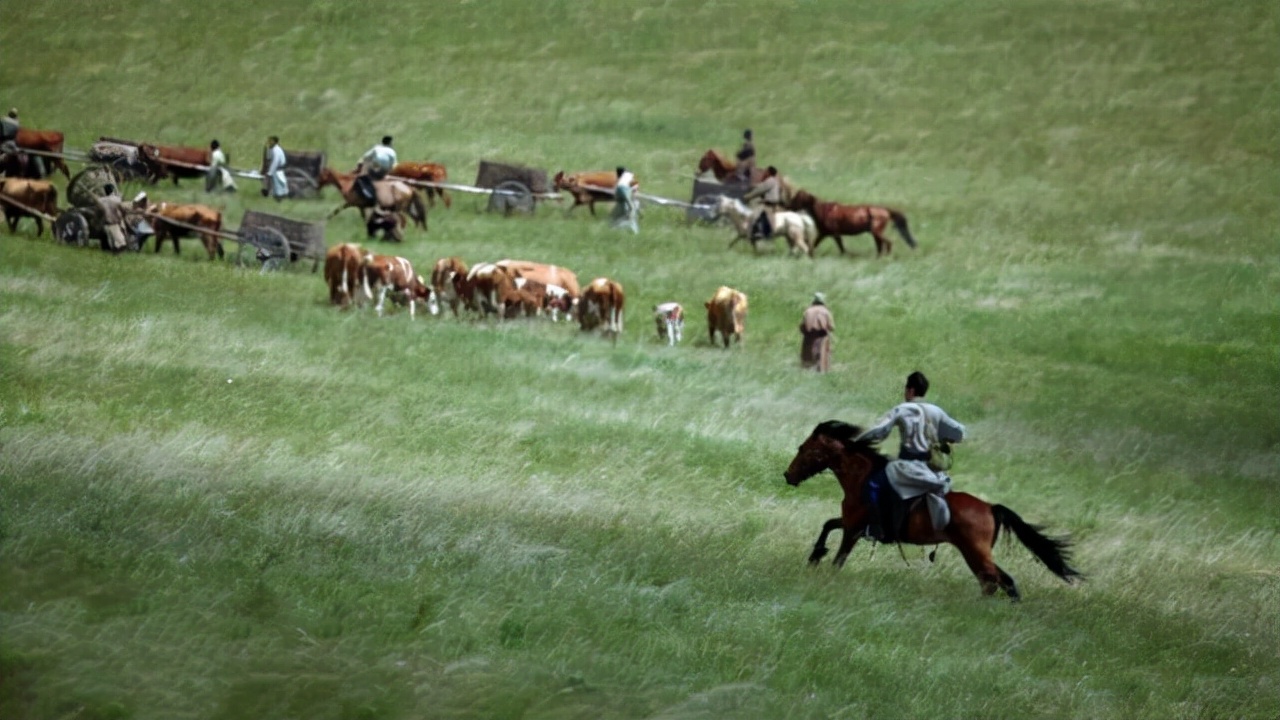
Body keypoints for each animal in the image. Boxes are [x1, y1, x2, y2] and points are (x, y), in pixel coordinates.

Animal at [778, 417, 1080, 597]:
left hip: (974, 552)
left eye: (803, 449)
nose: (788, 475)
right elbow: (828, 525)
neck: (862, 478)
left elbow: (838, 558)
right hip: (978, 553)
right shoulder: (853, 523)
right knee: (1001, 581)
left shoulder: (853, 529)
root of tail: (991, 507)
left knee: (994, 581)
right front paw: (815, 555)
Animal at [788, 189, 921, 256]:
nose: (788, 207)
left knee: (888, 243)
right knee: (880, 246)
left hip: (876, 232)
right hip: (875, 234)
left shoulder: (835, 234)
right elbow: (813, 245)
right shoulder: (823, 234)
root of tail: (886, 210)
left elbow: (841, 247)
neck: (823, 211)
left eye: (797, 198)